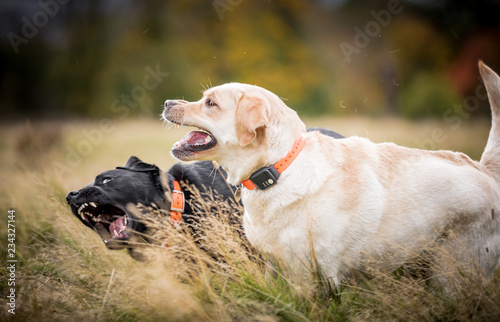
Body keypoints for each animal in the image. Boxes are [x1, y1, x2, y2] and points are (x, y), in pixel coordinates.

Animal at [164, 62, 500, 284]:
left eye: (210, 103)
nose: (167, 101)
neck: (279, 168)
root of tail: (483, 169)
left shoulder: (308, 274)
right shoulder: (273, 267)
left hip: (452, 272)